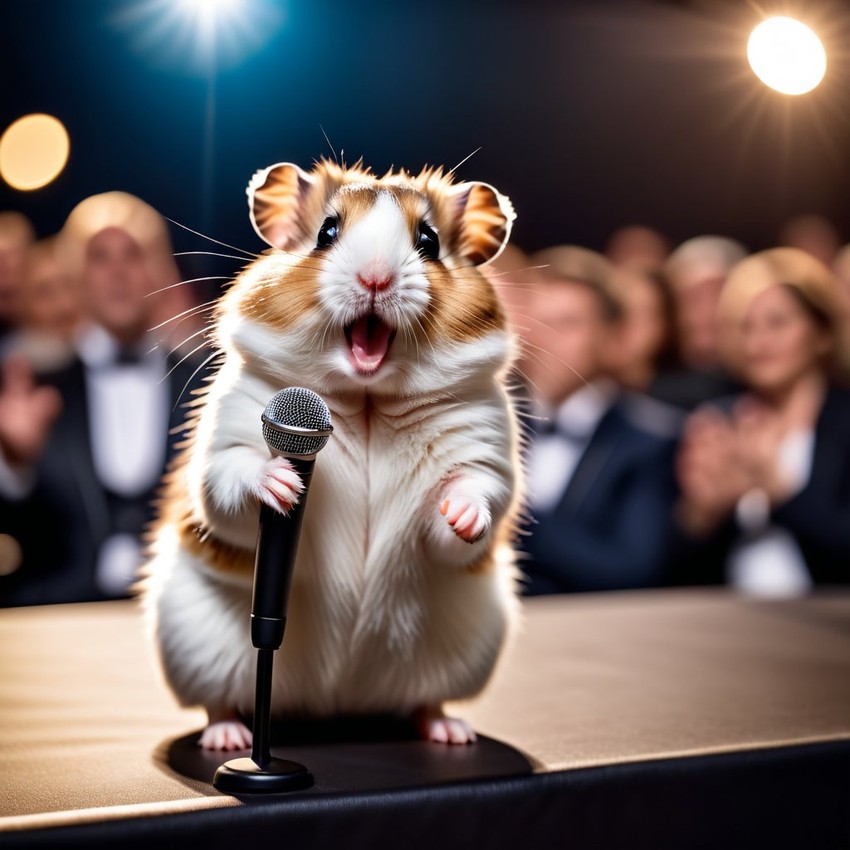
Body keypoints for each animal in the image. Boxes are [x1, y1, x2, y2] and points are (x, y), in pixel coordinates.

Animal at [139, 159, 524, 748]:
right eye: (327, 232)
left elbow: (474, 496)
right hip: (192, 648)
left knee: (426, 701)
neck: (366, 400)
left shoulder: (487, 448)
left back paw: (450, 732)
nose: (375, 278)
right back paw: (229, 737)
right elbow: (229, 483)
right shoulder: (227, 436)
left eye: (429, 241)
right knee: (216, 703)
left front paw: (459, 514)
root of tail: (336, 702)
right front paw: (282, 484)